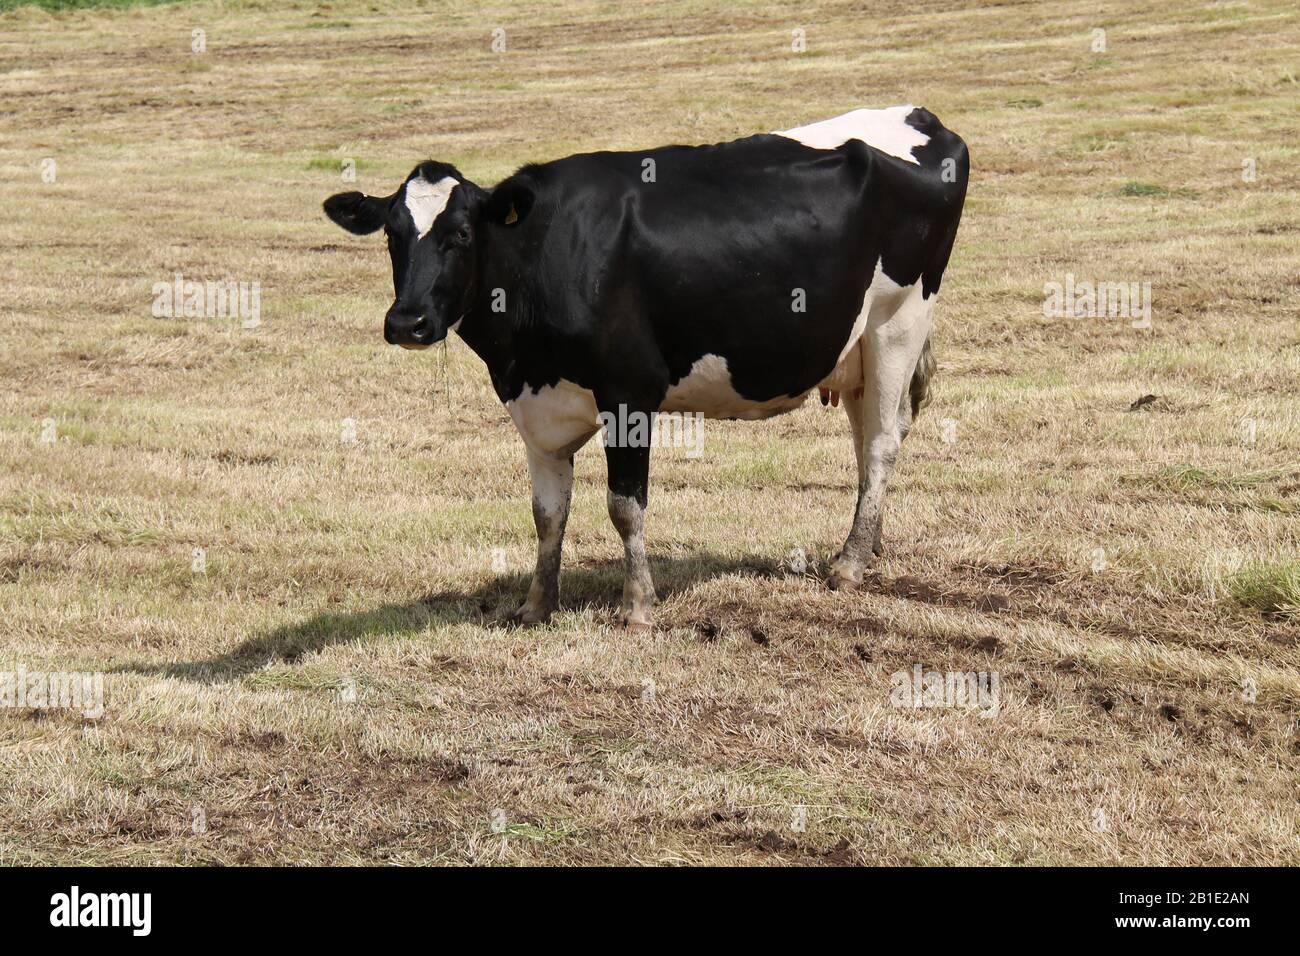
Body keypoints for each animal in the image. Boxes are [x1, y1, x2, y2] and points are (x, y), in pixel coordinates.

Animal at [323, 105, 968, 630]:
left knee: (882, 442)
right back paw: (870, 544)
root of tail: (922, 118)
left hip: (898, 321)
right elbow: (547, 514)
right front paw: (536, 605)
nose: (407, 322)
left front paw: (637, 605)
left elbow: (623, 506)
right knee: (868, 439)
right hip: (854, 348)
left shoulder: (629, 392)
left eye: (459, 234)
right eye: (392, 235)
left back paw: (850, 564)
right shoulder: (536, 407)